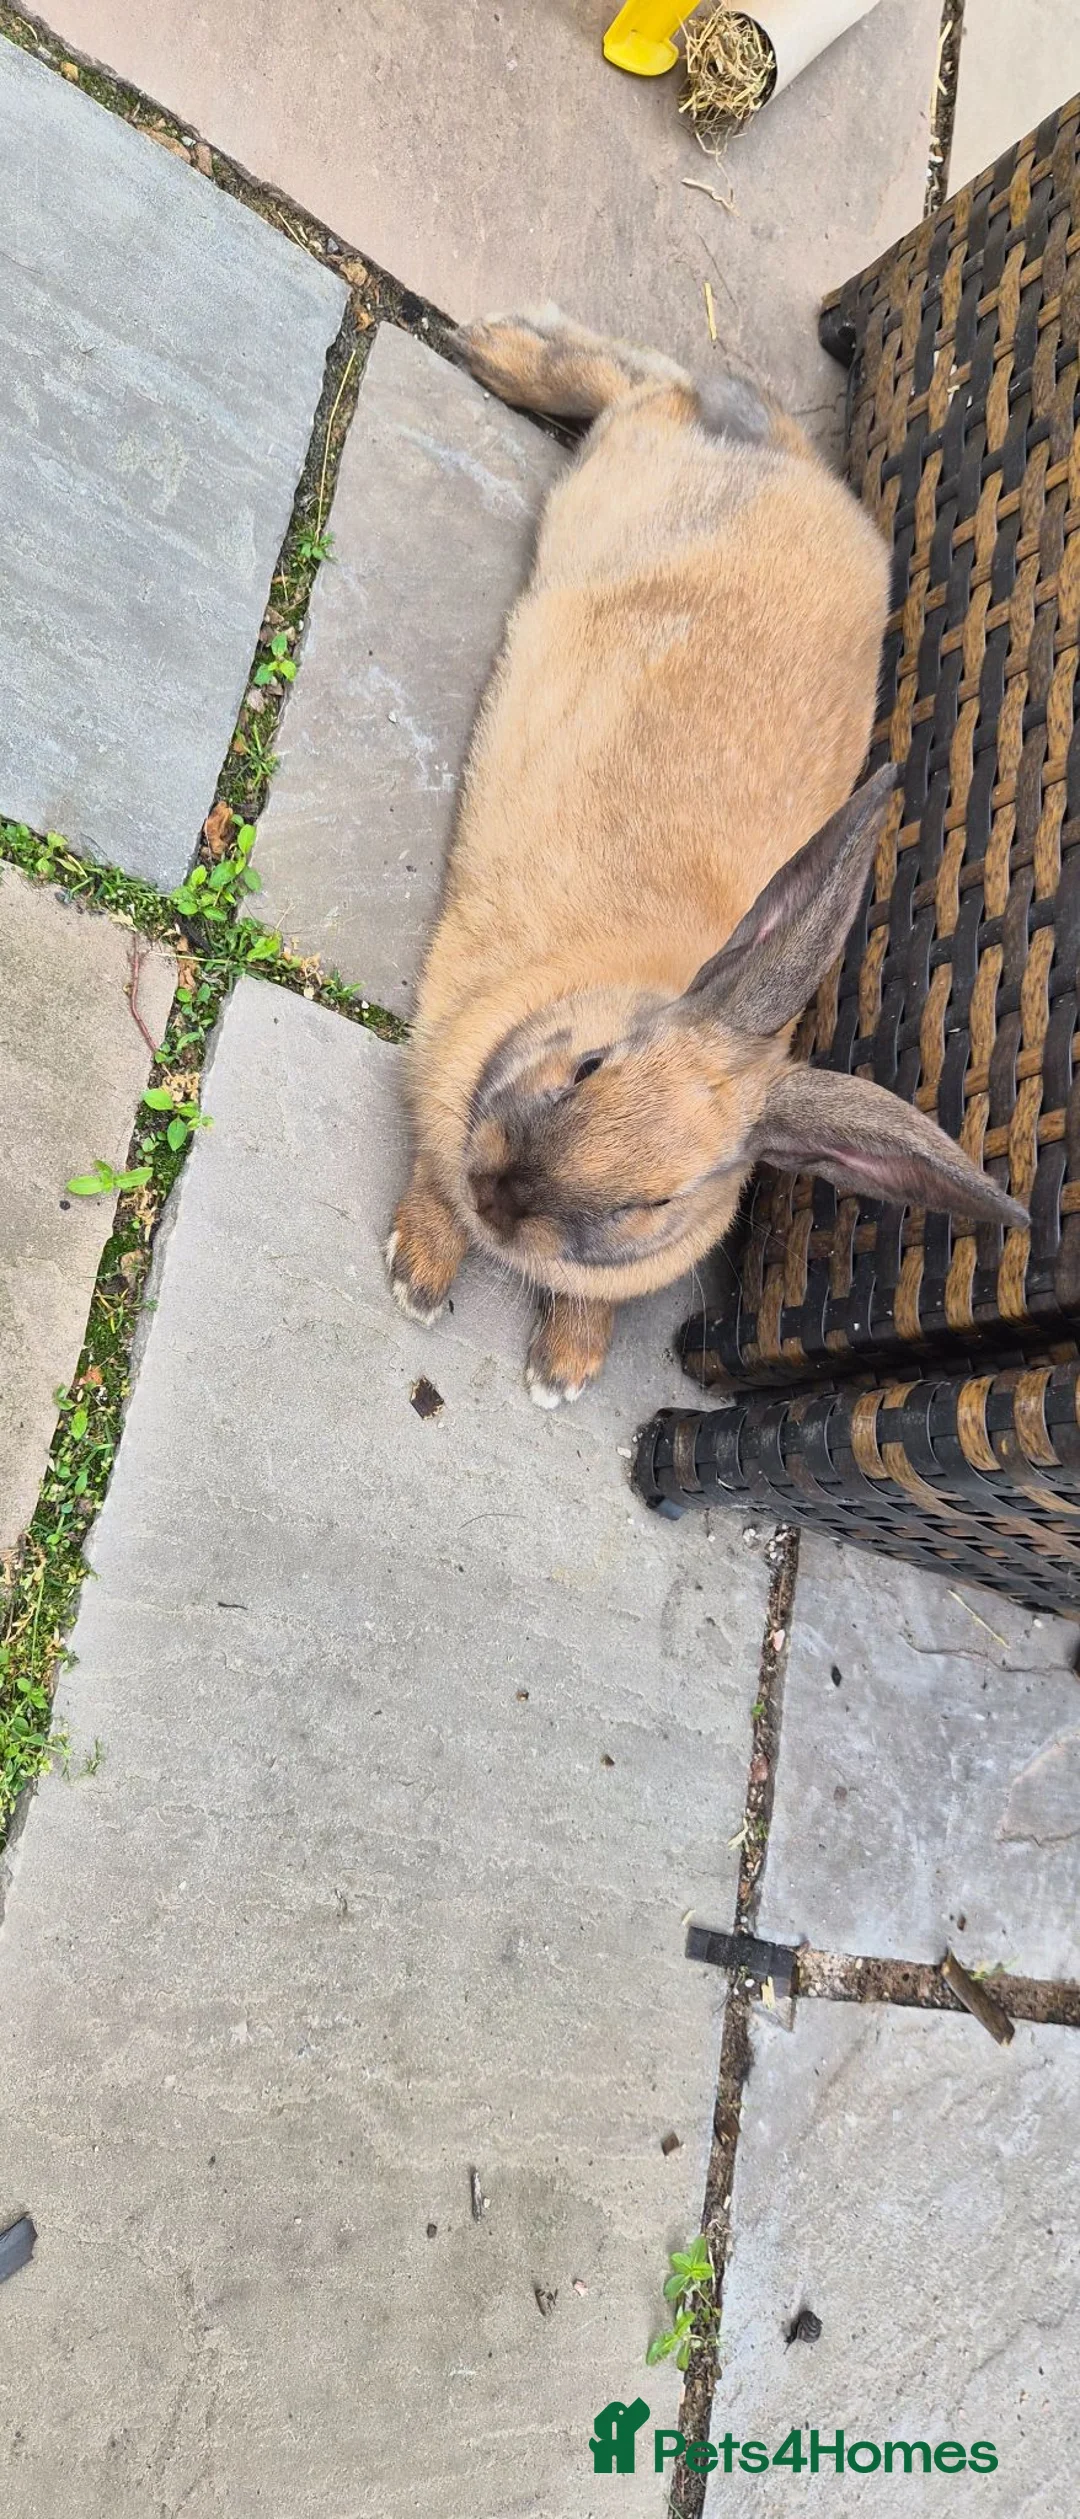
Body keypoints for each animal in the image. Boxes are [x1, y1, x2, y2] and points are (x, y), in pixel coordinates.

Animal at [385, 307, 1027, 1405]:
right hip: (628, 458)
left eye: (657, 1201)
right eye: (588, 1066)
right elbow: (429, 1174)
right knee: (644, 383)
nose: (502, 1194)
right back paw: (498, 350)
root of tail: (802, 468)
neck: (598, 988)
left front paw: (565, 1367)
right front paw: (420, 1278)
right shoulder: (442, 1068)